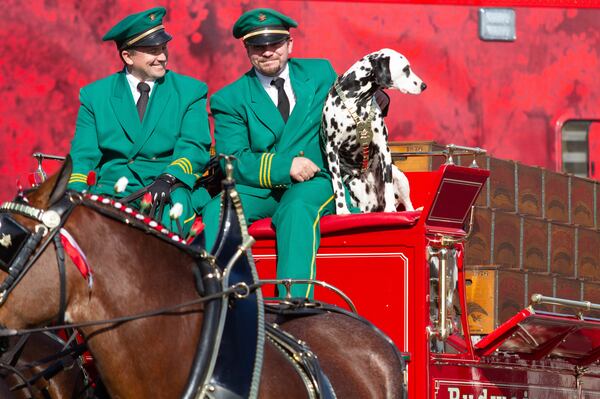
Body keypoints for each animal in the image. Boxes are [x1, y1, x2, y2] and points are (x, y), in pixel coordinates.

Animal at [324, 49, 426, 216]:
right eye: (406, 69)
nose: (424, 86)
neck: (358, 101)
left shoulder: (384, 148)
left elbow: (388, 183)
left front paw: (390, 209)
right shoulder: (332, 149)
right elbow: (337, 185)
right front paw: (342, 210)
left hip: (400, 177)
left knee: (408, 204)